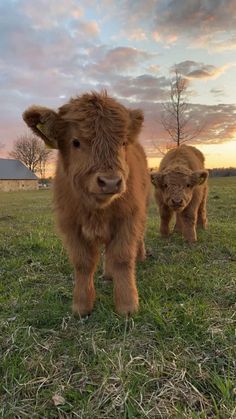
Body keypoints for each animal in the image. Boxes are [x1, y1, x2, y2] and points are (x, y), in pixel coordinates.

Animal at [23, 91, 150, 316]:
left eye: (123, 142)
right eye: (75, 142)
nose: (110, 181)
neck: (97, 209)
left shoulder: (128, 218)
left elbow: (123, 258)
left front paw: (127, 305)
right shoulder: (70, 224)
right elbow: (83, 263)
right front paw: (82, 305)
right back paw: (108, 274)